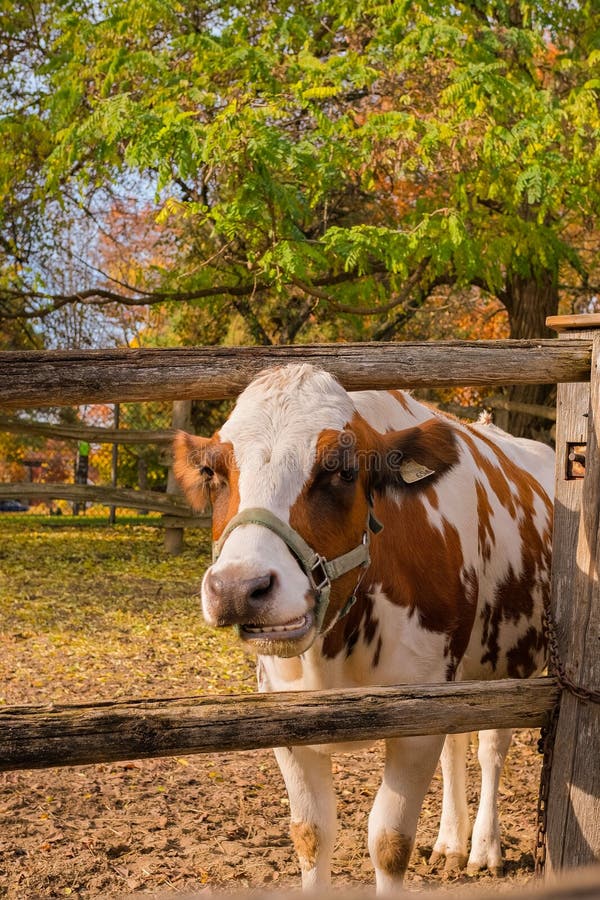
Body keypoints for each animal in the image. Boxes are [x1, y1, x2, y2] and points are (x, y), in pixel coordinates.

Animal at [173, 363, 553, 894]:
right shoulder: (282, 712)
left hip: (512, 663)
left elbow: (389, 842)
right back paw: (451, 844)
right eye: (213, 474)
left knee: (490, 749)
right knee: (457, 745)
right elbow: (311, 834)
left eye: (342, 471)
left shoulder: (418, 711)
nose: (237, 588)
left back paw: (484, 849)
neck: (332, 654)